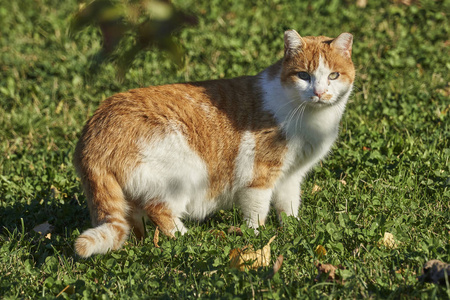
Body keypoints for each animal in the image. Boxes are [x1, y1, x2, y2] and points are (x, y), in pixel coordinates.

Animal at [74, 29, 356, 256]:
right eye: (303, 76)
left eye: (333, 76)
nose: (319, 92)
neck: (310, 118)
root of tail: (93, 132)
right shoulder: (259, 174)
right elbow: (257, 210)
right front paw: (256, 237)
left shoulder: (291, 176)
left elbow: (288, 205)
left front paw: (293, 228)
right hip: (184, 170)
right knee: (160, 210)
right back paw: (189, 239)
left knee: (135, 220)